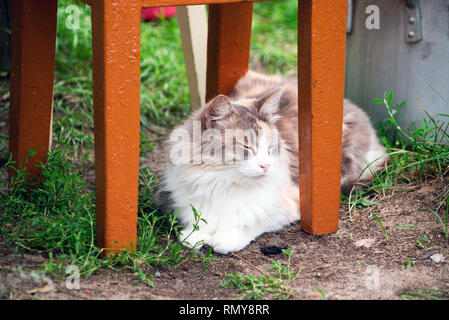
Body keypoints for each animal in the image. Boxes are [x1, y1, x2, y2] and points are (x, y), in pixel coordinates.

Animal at [158, 70, 388, 255]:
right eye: (247, 147)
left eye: (269, 149)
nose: (266, 166)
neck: (223, 181)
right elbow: (195, 217)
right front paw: (196, 235)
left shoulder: (290, 201)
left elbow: (251, 219)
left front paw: (226, 238)